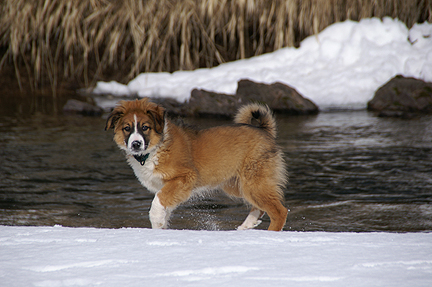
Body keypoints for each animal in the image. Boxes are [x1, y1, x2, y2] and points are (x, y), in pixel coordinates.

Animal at [105, 98, 288, 232]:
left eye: (145, 127)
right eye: (127, 128)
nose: (135, 144)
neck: (155, 148)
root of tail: (264, 130)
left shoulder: (185, 177)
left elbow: (158, 202)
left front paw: (156, 221)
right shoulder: (169, 187)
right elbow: (165, 207)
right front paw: (160, 228)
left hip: (253, 181)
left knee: (279, 211)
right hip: (236, 183)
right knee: (261, 207)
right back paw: (247, 225)